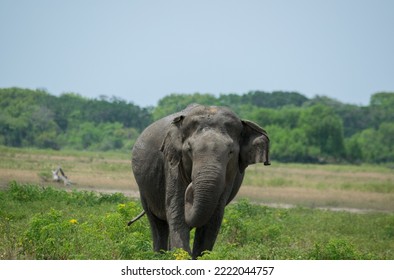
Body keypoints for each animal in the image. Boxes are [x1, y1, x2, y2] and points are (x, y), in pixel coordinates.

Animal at [129, 103, 270, 258]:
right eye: (189, 150)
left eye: (231, 152)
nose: (191, 186)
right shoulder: (172, 163)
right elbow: (177, 211)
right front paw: (182, 255)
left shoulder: (230, 176)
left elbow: (212, 220)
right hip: (144, 189)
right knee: (157, 224)